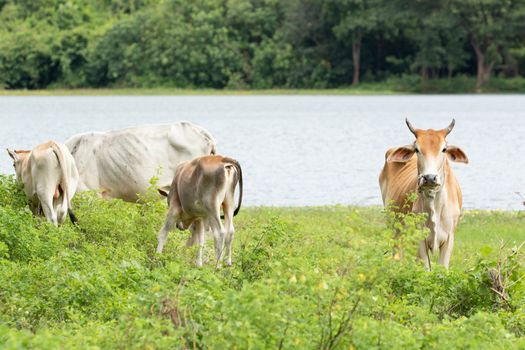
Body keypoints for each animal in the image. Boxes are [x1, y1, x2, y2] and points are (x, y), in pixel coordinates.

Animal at [378, 119, 468, 270]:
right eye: (417, 149)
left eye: (444, 149)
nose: (430, 178)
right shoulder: (419, 239)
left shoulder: (449, 238)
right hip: (393, 226)